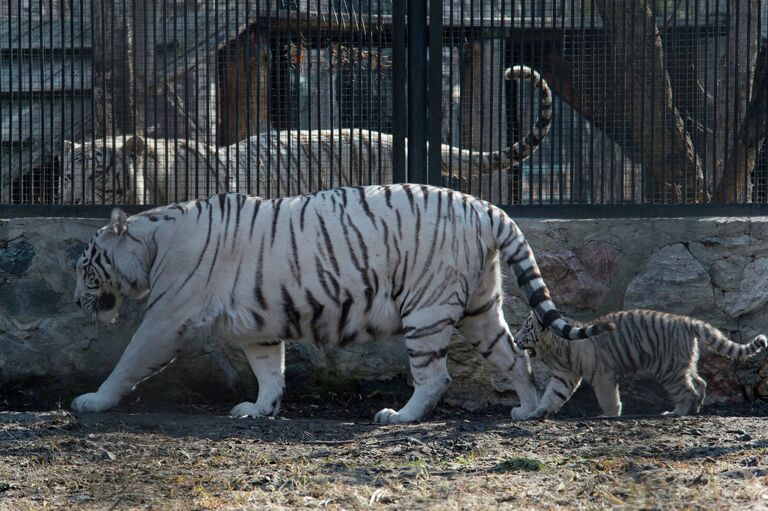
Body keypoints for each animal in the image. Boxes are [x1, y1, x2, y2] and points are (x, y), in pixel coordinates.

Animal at [70, 184, 612, 424]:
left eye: (85, 265)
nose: (76, 302)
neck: (150, 242)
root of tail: (485, 206)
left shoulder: (167, 316)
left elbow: (129, 360)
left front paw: (92, 400)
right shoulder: (259, 327)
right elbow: (269, 369)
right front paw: (260, 409)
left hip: (426, 309)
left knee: (435, 376)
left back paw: (398, 418)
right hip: (482, 307)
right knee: (515, 357)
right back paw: (528, 411)